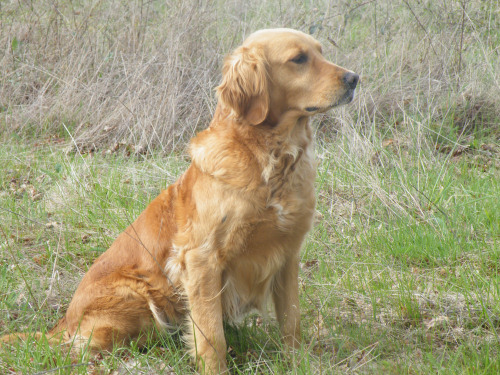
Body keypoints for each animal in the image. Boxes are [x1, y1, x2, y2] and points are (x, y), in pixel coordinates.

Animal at [0, 28, 360, 374]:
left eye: (321, 52)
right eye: (298, 59)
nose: (355, 77)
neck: (270, 161)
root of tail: (63, 321)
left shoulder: (287, 254)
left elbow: (291, 322)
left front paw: (297, 362)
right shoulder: (201, 259)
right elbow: (211, 335)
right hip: (139, 296)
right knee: (85, 347)